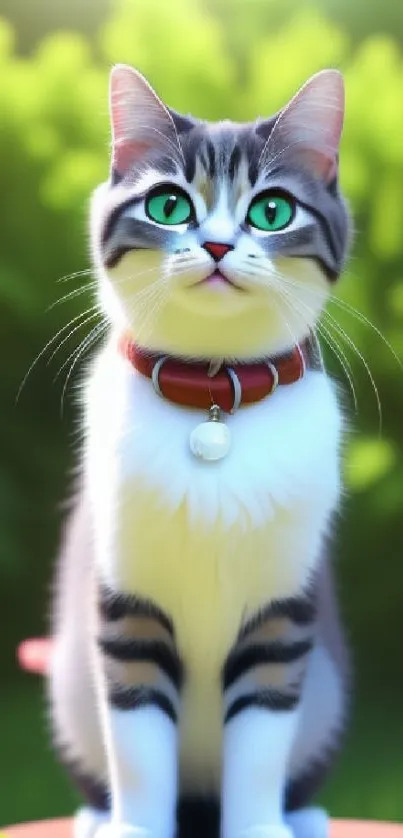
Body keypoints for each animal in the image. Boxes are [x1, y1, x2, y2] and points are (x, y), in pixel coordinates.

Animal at [49, 64, 354, 838]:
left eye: (271, 211)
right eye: (168, 204)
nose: (215, 246)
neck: (215, 397)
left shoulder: (282, 611)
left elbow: (261, 743)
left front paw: (259, 828)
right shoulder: (125, 600)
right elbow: (137, 744)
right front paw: (133, 828)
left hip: (329, 689)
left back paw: (305, 817)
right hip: (68, 682)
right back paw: (95, 816)